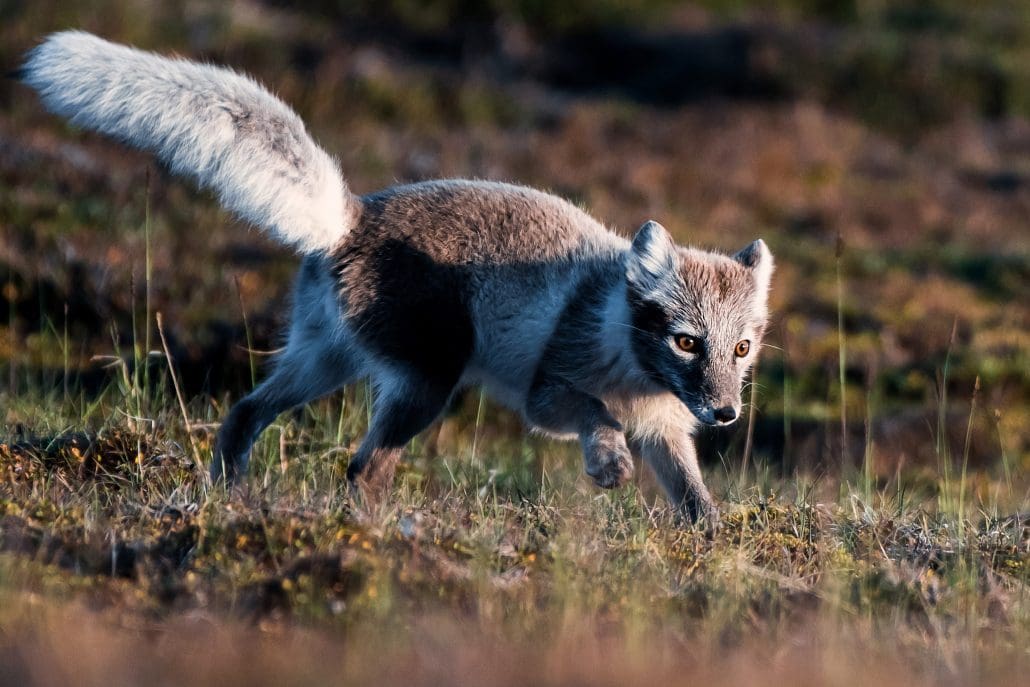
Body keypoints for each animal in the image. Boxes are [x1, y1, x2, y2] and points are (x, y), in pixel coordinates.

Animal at [20, 31, 773, 525]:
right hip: (425, 381)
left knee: (243, 413)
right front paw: (607, 464)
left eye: (741, 347)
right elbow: (597, 413)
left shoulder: (668, 433)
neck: (631, 358)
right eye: (685, 340)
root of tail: (351, 216)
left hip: (327, 361)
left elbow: (695, 498)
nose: (726, 413)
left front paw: (711, 545)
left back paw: (226, 498)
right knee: (361, 467)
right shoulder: (546, 394)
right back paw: (370, 531)